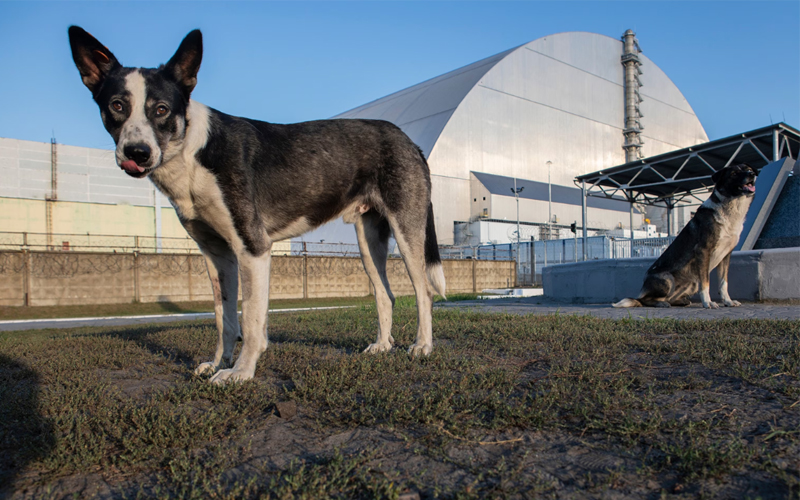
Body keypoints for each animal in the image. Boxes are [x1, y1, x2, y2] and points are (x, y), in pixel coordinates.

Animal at [67, 27, 444, 384]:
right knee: (385, 294)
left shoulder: (253, 247)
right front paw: (219, 362)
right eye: (117, 105)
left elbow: (249, 319)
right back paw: (382, 346)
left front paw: (241, 373)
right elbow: (225, 318)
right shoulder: (217, 255)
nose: (137, 152)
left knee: (424, 291)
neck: (194, 151)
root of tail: (408, 140)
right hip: (369, 240)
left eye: (161, 110)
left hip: (407, 231)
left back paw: (423, 346)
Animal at [612, 165, 756, 308]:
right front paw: (708, 302)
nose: (753, 174)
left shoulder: (726, 255)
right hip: (667, 279)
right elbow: (706, 283)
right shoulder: (703, 251)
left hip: (692, 283)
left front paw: (728, 301)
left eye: (748, 168)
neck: (731, 206)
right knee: (644, 300)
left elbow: (723, 283)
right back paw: (660, 303)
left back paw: (680, 301)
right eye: (734, 173)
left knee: (669, 298)